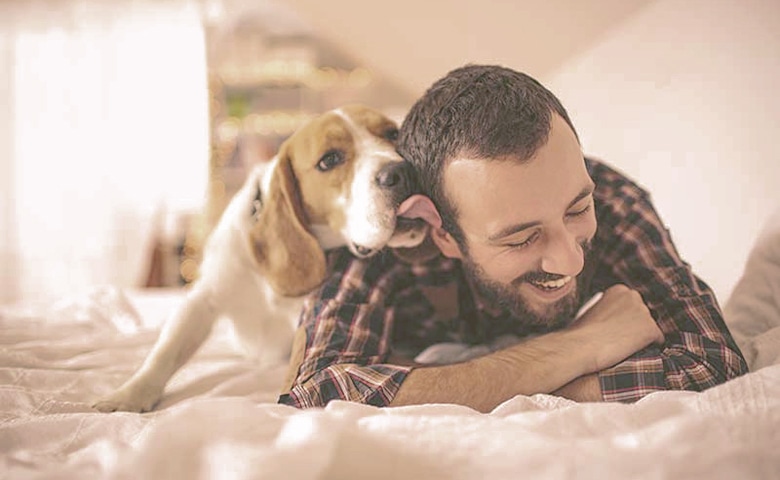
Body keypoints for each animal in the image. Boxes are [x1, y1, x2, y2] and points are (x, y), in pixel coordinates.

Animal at [96, 105, 432, 412]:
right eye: (330, 160)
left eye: (393, 134)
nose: (402, 171)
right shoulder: (204, 298)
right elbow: (166, 350)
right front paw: (129, 395)